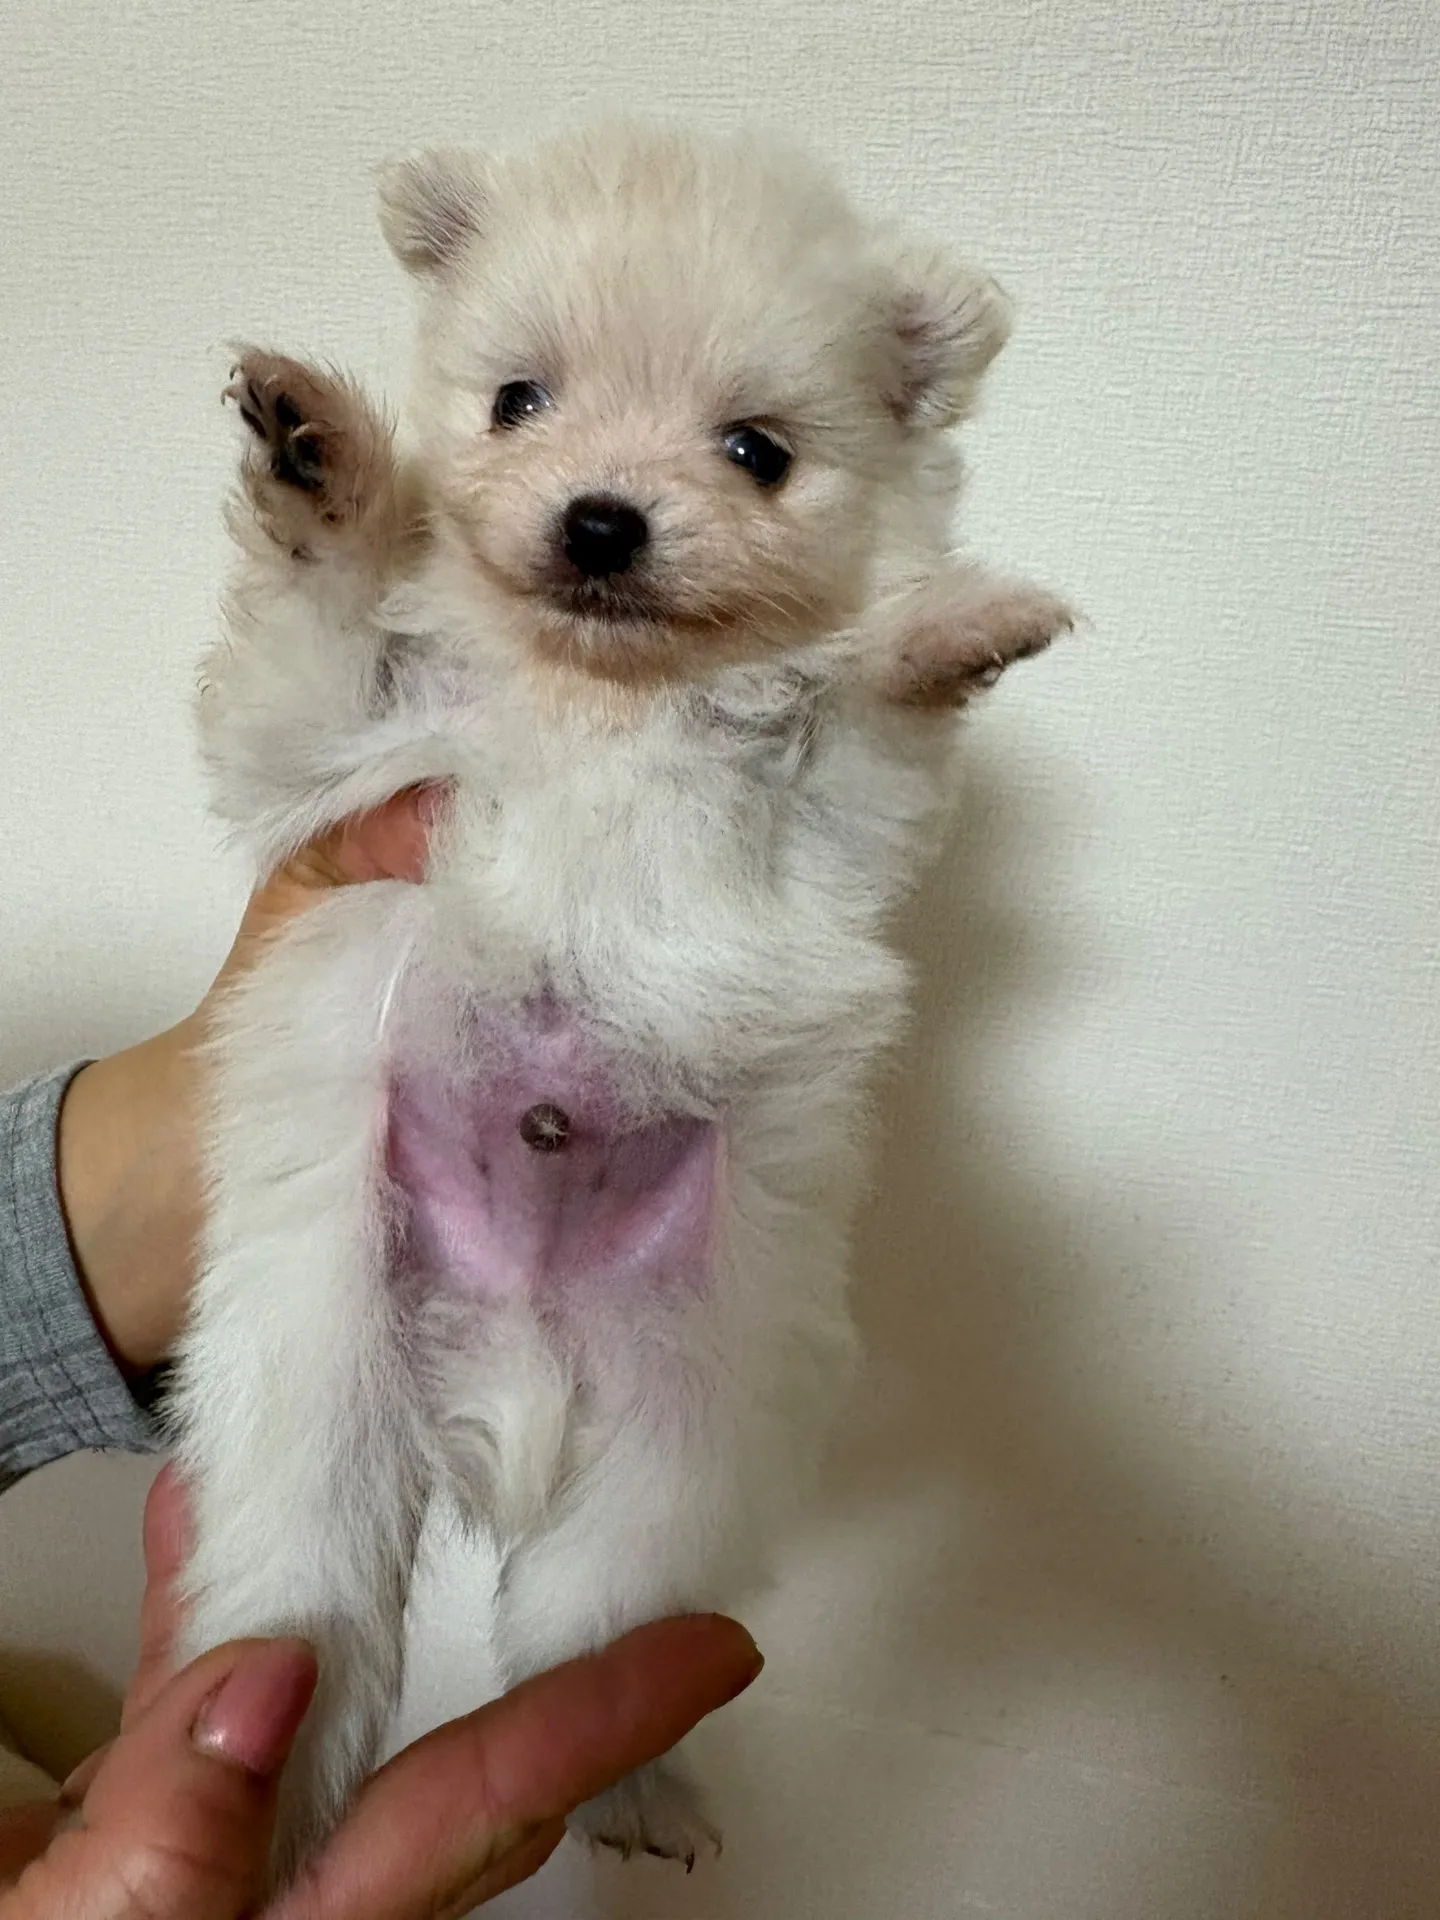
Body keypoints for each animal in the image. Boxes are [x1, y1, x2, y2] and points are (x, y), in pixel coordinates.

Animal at [170, 121, 1072, 1878]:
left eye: (756, 453)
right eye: (519, 402)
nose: (600, 522)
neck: (606, 694)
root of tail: (510, 1370)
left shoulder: (830, 832)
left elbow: (864, 720)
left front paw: (944, 632)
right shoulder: (336, 755)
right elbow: (318, 647)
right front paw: (321, 467)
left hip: (684, 1413)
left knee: (597, 1610)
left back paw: (630, 1783)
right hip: (318, 1369)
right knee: (310, 1584)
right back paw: (282, 1770)